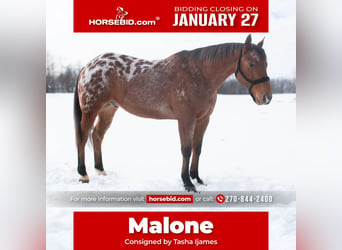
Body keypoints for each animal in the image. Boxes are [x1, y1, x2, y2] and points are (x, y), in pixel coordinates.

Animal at [73, 34, 272, 191]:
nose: (266, 97)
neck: (199, 74)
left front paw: (197, 178)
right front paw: (187, 183)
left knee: (97, 136)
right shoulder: (186, 119)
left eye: (266, 63)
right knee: (82, 137)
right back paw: (83, 174)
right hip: (90, 109)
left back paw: (100, 170)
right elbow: (186, 149)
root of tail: (88, 66)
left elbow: (197, 148)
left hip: (108, 109)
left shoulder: (203, 119)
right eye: (251, 64)